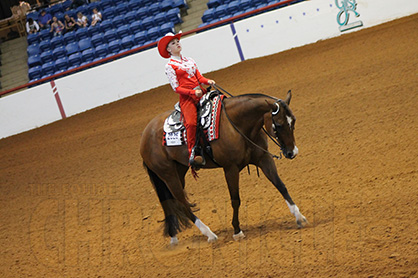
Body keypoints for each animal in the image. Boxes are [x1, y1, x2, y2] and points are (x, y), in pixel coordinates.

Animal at [140, 90, 306, 244]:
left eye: (293, 121)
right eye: (279, 124)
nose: (292, 152)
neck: (237, 125)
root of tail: (145, 135)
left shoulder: (264, 158)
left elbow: (281, 185)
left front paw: (299, 217)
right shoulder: (230, 168)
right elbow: (235, 199)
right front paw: (237, 231)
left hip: (179, 170)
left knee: (171, 201)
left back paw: (174, 237)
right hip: (168, 174)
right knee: (181, 202)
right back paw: (209, 234)